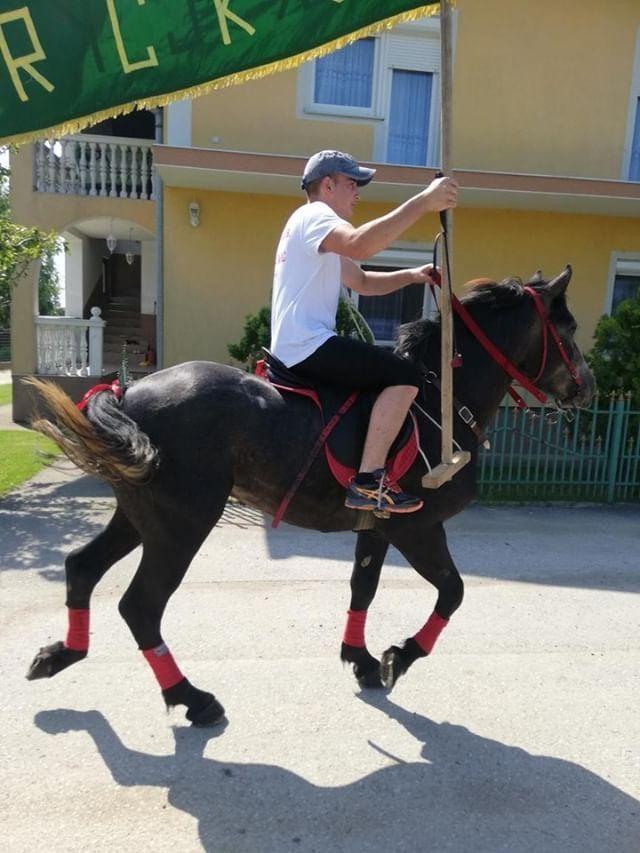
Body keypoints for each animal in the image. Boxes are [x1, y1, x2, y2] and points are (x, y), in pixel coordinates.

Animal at [25, 268, 596, 724]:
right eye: (567, 329)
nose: (587, 387)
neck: (441, 402)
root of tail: (128, 393)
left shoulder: (377, 527)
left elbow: (362, 588)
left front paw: (361, 658)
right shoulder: (417, 527)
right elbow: (453, 591)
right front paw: (400, 655)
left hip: (139, 516)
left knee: (81, 567)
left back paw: (61, 653)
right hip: (180, 526)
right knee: (141, 606)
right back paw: (192, 698)